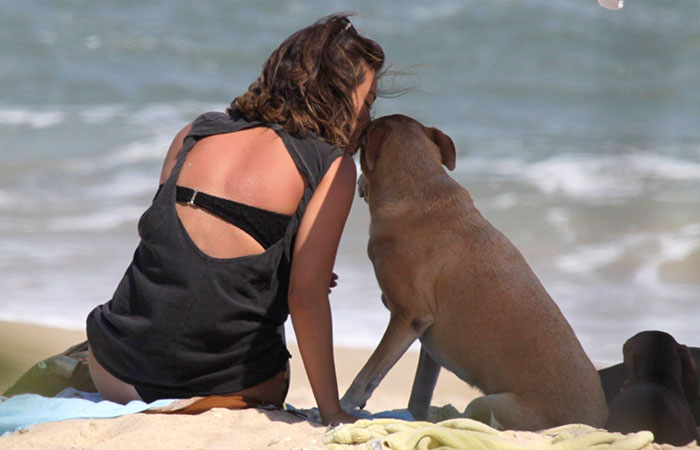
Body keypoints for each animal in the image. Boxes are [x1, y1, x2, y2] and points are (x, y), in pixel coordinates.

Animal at [340, 114, 608, 430]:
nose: (357, 181)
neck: (420, 190)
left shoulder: (407, 317)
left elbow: (367, 375)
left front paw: (341, 407)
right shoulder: (429, 337)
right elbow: (419, 395)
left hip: (490, 403)